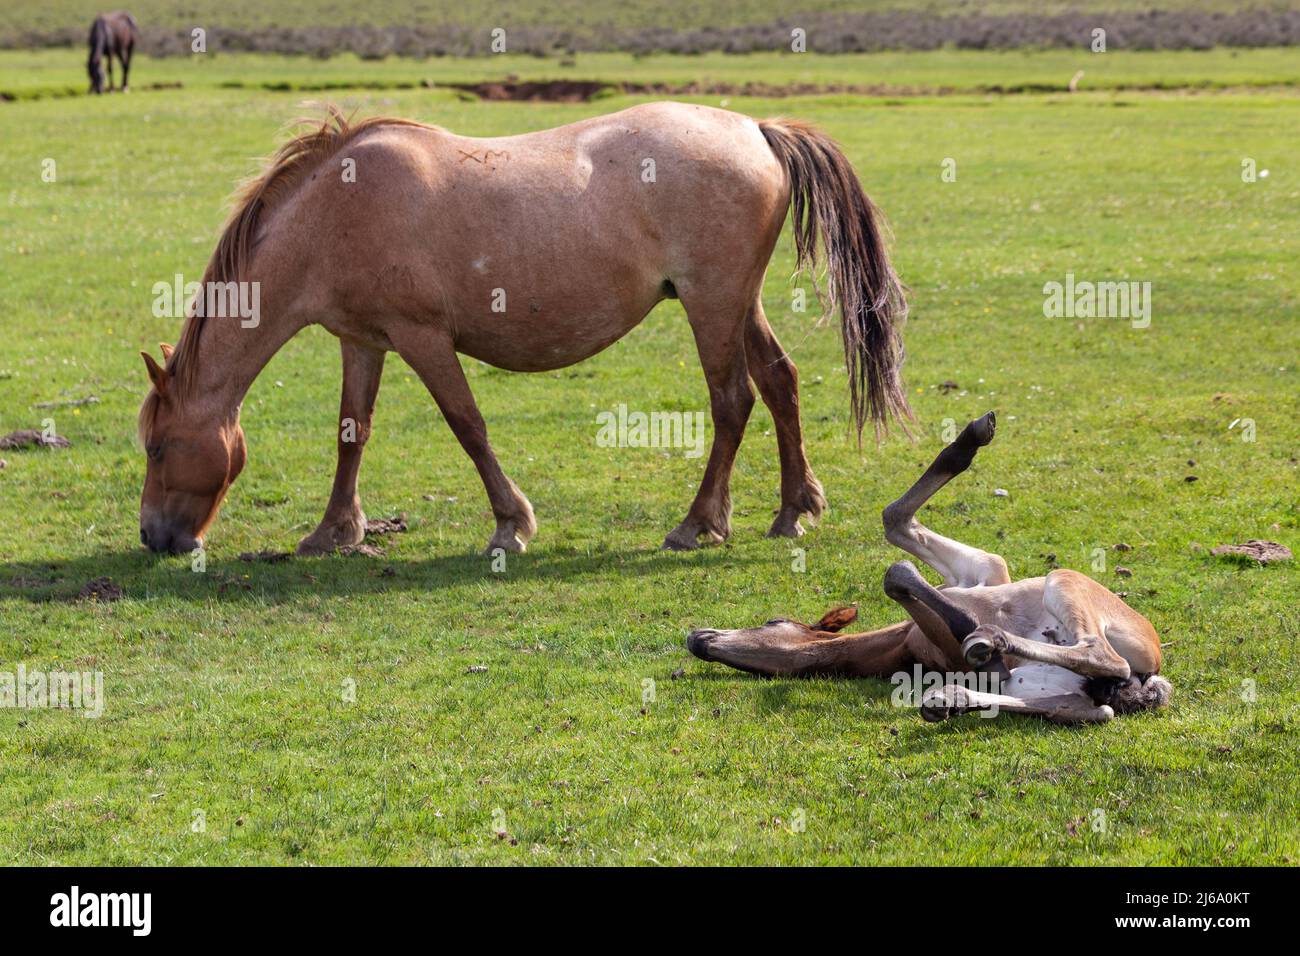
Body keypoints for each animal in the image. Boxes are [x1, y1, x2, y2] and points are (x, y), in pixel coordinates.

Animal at [137, 102, 909, 556]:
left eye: (156, 447)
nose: (153, 537)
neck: (335, 210)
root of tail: (756, 130)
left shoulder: (422, 338)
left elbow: (467, 425)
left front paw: (510, 523)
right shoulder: (363, 341)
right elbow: (351, 433)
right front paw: (333, 531)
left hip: (711, 304)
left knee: (732, 402)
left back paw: (699, 523)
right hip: (734, 302)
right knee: (779, 382)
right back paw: (794, 508)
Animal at [686, 412, 1173, 724]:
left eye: (774, 620)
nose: (697, 638)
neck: (905, 645)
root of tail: (1150, 676)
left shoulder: (982, 574)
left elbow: (897, 529)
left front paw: (971, 437)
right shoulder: (969, 592)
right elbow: (898, 553)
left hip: (1063, 583)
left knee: (1101, 665)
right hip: (1060, 650)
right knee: (1099, 694)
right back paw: (957, 686)